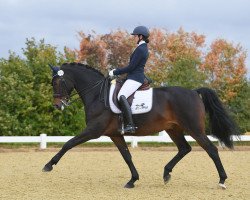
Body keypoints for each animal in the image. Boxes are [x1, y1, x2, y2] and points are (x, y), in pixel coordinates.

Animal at [43, 62, 238, 189]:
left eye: (58, 82)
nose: (57, 105)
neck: (97, 94)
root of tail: (194, 92)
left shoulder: (93, 130)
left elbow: (68, 143)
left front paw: (49, 165)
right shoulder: (115, 134)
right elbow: (127, 156)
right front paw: (132, 180)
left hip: (194, 129)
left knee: (211, 149)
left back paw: (222, 180)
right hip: (173, 129)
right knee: (184, 148)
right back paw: (166, 173)